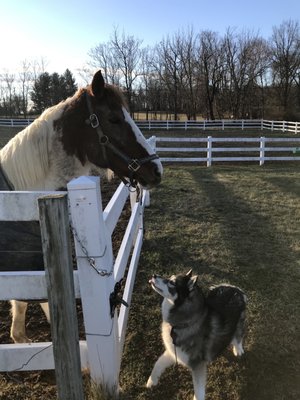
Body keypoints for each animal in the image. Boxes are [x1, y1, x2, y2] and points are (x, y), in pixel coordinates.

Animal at [146, 270, 247, 398]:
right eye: (170, 277)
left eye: (172, 283)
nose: (153, 275)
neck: (185, 323)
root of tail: (235, 289)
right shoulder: (174, 353)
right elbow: (158, 364)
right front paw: (151, 381)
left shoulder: (198, 366)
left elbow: (199, 392)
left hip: (239, 322)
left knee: (238, 336)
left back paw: (238, 349)